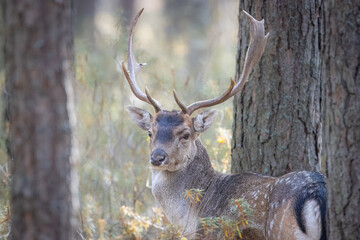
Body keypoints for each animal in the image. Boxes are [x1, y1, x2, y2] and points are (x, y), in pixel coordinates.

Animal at [121, 8, 326, 240]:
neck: (194, 219)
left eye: (186, 134)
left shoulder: (214, 234)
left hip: (282, 230)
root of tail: (316, 193)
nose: (157, 157)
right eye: (150, 132)